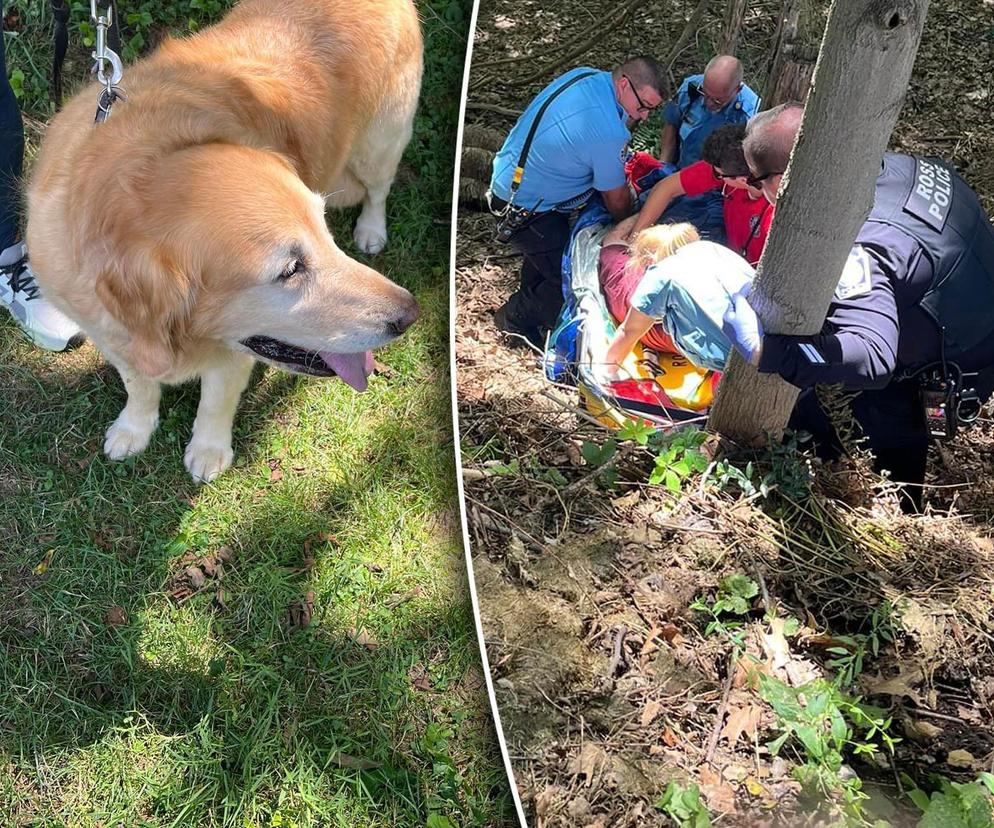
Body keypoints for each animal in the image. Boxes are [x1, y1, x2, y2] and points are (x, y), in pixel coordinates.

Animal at [26, 0, 422, 478]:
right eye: (290, 269)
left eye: (324, 233)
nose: (411, 314)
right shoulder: (109, 331)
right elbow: (139, 384)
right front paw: (133, 429)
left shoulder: (235, 350)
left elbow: (215, 402)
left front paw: (209, 451)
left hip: (381, 142)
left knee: (379, 189)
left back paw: (371, 230)